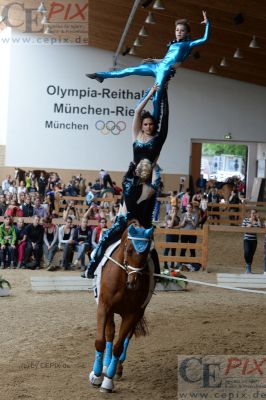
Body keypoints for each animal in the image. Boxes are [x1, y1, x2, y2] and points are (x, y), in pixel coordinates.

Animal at [89, 223, 155, 392]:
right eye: (129, 249)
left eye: (146, 253)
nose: (133, 283)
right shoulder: (104, 308)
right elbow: (100, 341)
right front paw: (96, 375)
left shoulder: (132, 314)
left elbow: (118, 347)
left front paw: (108, 381)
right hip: (111, 311)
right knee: (110, 334)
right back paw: (105, 365)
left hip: (138, 313)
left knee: (126, 338)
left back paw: (116, 369)